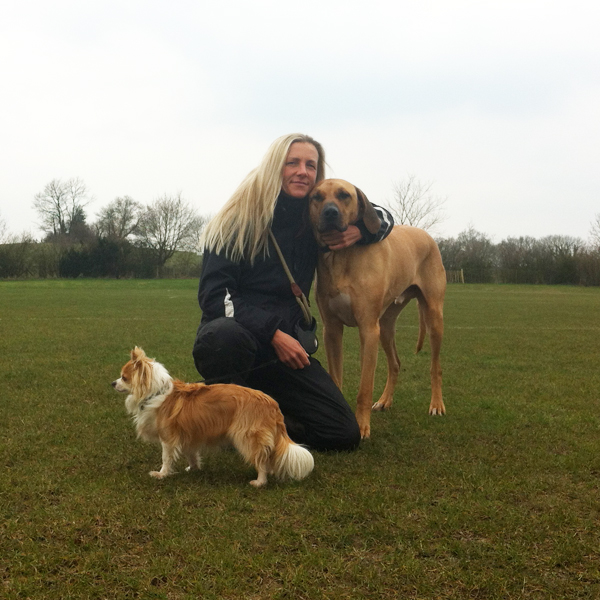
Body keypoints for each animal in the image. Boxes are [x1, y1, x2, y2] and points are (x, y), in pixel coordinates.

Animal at [112, 347, 314, 487]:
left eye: (124, 378)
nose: (113, 383)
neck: (156, 393)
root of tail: (272, 404)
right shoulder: (189, 435)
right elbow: (191, 454)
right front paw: (193, 469)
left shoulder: (168, 438)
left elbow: (166, 458)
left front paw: (161, 474)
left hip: (247, 436)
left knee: (261, 460)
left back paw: (259, 481)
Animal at [309, 178, 446, 439]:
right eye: (316, 197)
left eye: (344, 195)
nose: (330, 213)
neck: (343, 256)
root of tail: (425, 234)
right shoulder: (332, 330)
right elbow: (336, 377)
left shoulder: (367, 329)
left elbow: (364, 388)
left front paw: (362, 426)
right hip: (385, 325)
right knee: (395, 363)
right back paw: (385, 400)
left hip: (433, 316)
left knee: (435, 367)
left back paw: (436, 404)